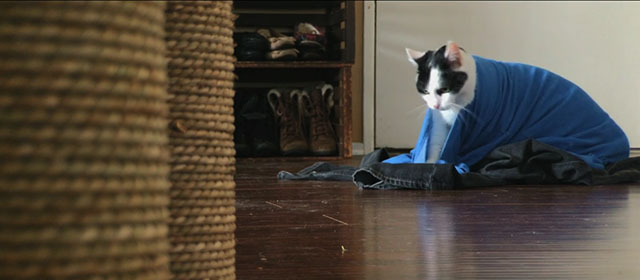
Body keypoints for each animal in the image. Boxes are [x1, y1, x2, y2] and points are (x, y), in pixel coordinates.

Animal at [384, 52, 632, 171]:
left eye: (444, 89)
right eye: (424, 91)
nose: (434, 105)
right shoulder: (439, 124)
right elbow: (435, 146)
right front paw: (427, 164)